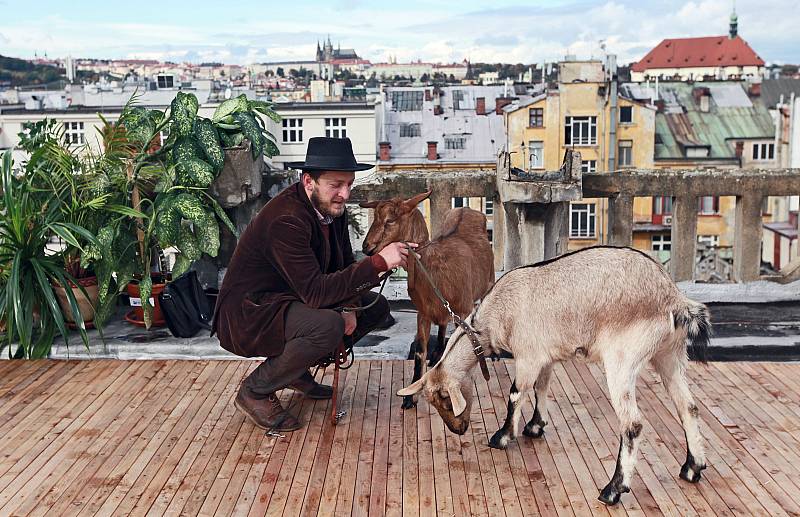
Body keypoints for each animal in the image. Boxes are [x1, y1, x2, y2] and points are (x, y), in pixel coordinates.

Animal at [360, 191, 494, 410]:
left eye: (390, 220)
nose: (366, 247)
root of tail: (467, 209)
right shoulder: (422, 313)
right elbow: (419, 353)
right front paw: (409, 398)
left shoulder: (463, 310)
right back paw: (437, 352)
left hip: (487, 283)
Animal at [400, 246, 712, 504]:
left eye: (444, 398)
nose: (458, 429)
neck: (494, 317)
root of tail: (675, 300)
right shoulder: (545, 356)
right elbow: (542, 388)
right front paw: (535, 427)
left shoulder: (528, 356)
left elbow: (516, 393)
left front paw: (502, 436)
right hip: (669, 354)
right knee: (688, 407)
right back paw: (692, 467)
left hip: (622, 360)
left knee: (632, 424)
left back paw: (612, 490)